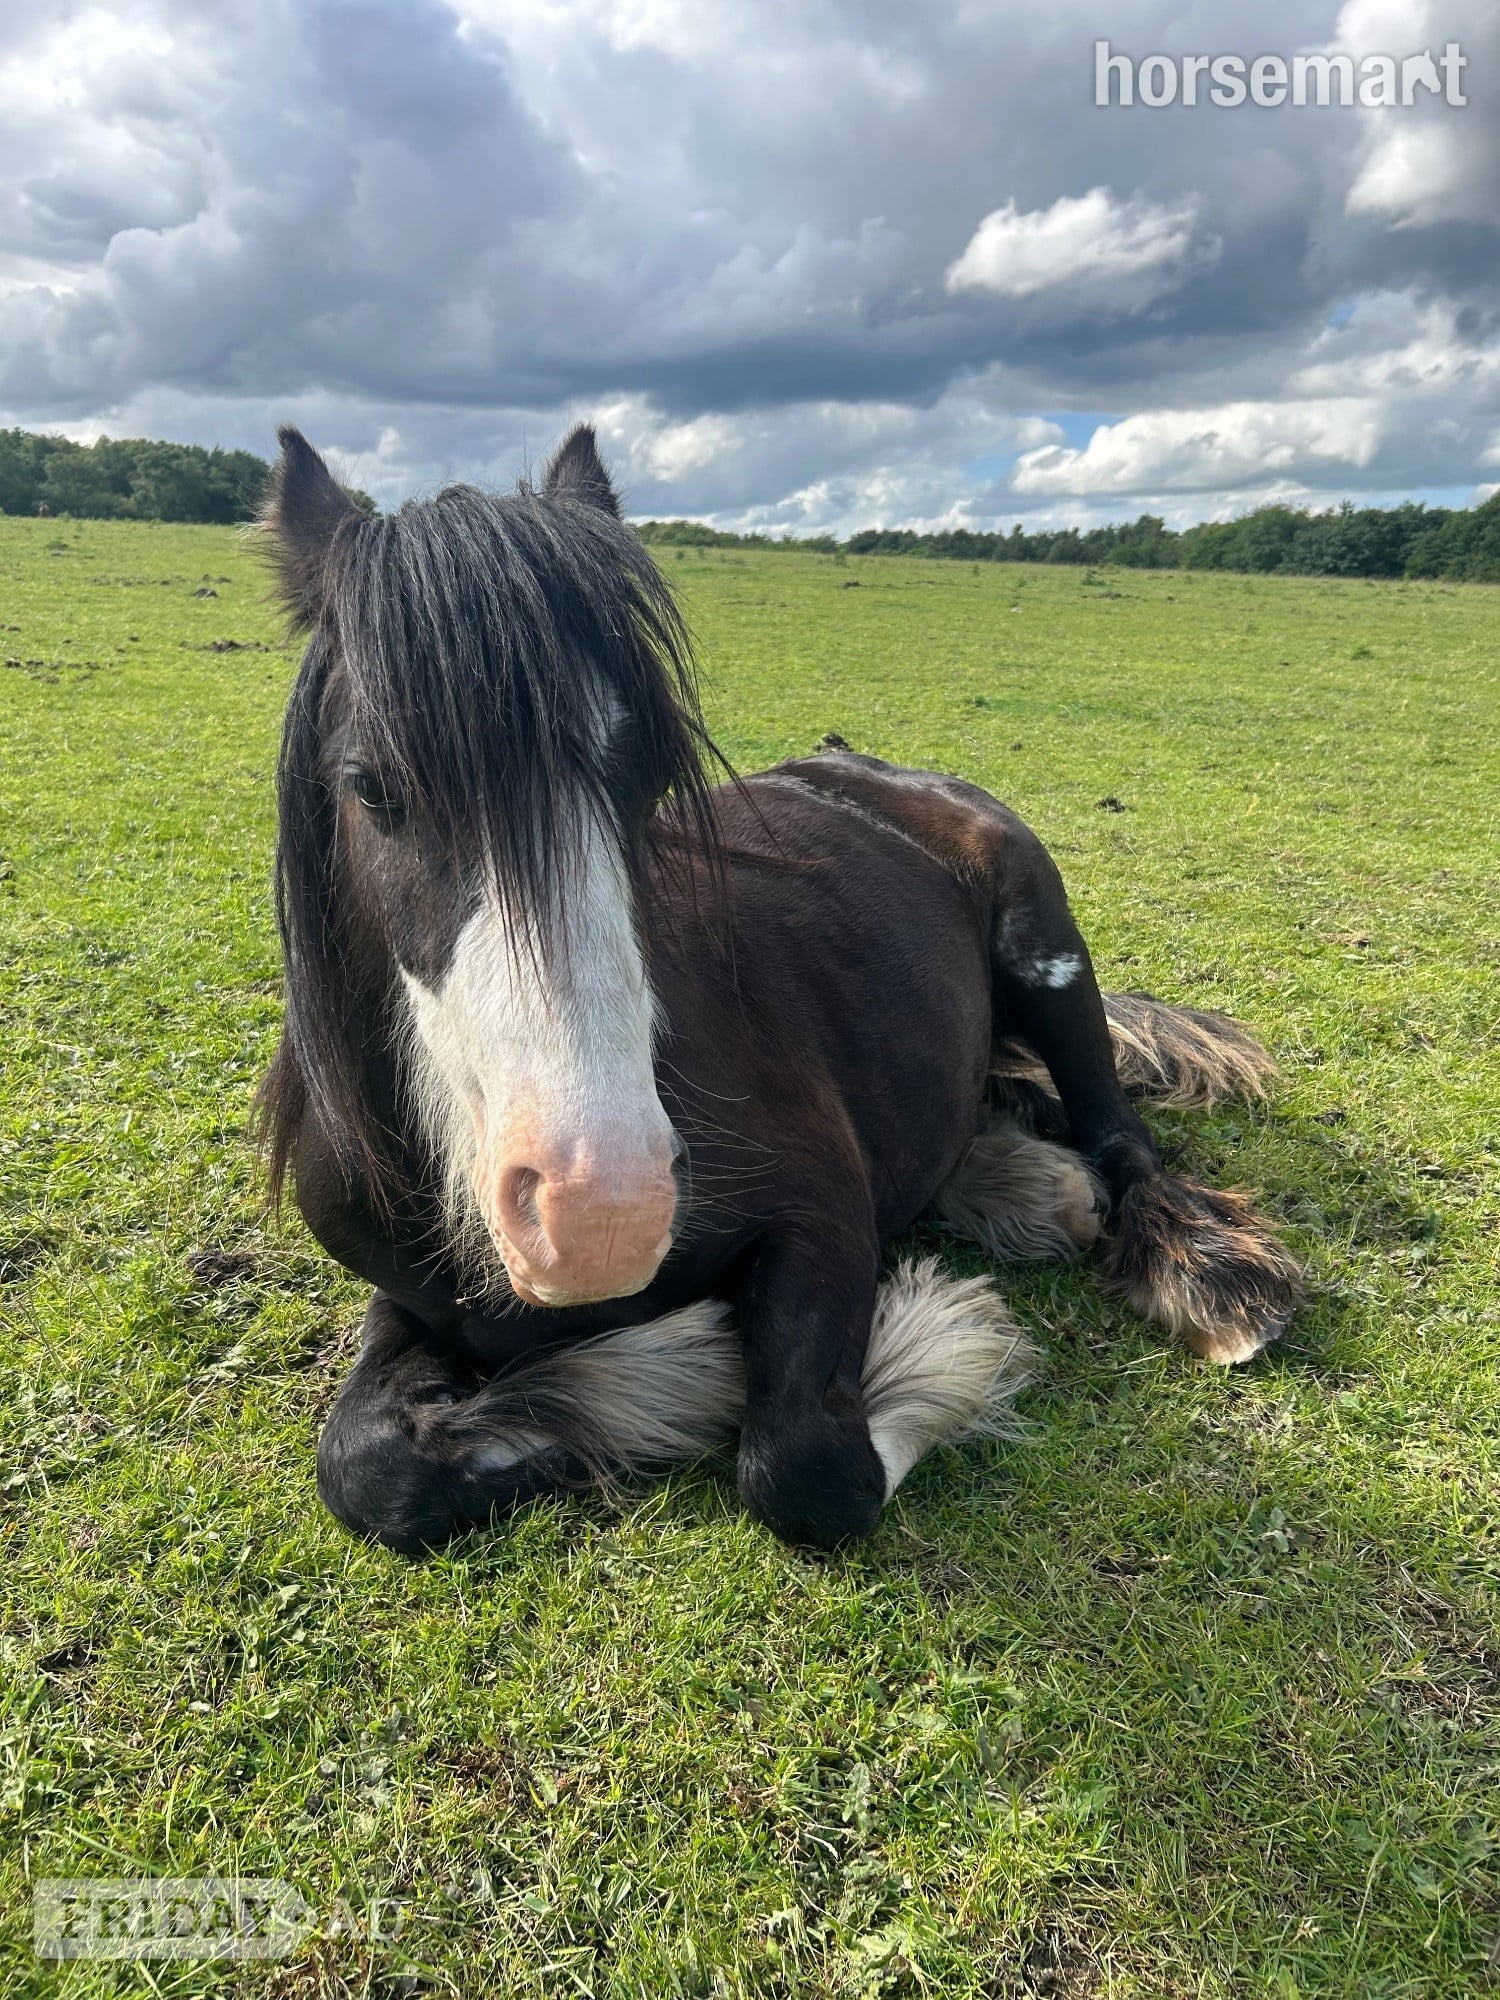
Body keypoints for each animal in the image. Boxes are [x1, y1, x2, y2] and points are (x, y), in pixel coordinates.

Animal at [256, 423, 1303, 1556]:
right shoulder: (408, 1298)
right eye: (371, 785)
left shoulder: (820, 1209)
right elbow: (368, 1468)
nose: (602, 1213)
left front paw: (919, 1338)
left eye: (645, 778)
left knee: (1118, 1131)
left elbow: (805, 1467)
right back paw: (1022, 1183)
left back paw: (1204, 1271)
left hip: (1047, 952)